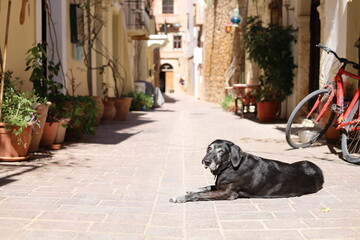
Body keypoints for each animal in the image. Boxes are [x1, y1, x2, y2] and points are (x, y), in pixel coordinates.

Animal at [170, 139, 324, 202]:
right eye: (209, 148)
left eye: (221, 151)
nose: (206, 161)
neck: (229, 166)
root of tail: (319, 170)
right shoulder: (220, 186)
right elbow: (206, 187)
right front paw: (192, 190)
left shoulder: (227, 193)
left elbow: (202, 194)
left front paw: (180, 197)